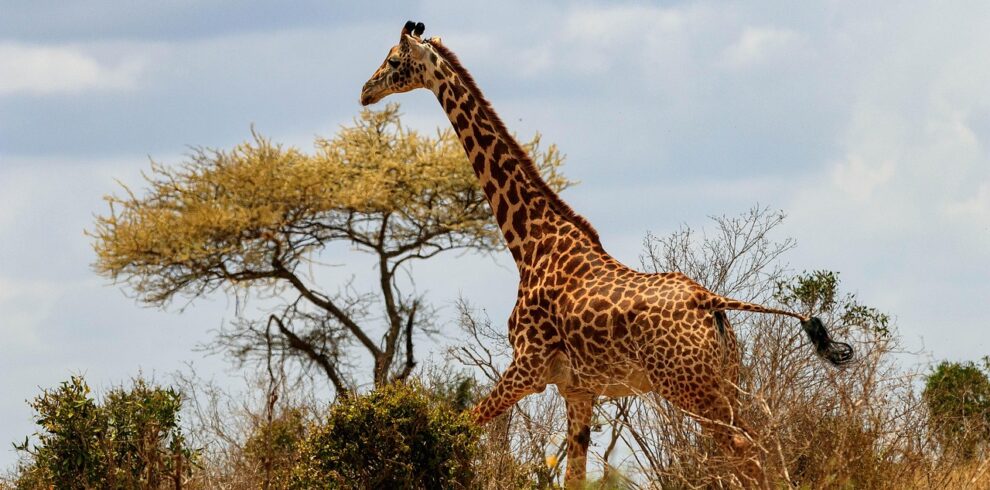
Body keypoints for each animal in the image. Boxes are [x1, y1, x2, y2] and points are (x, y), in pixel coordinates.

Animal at [360, 21, 854, 487]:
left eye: (393, 61)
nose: (365, 91)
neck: (530, 242)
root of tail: (711, 301)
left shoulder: (527, 367)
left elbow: (459, 427)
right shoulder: (578, 390)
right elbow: (573, 475)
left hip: (689, 386)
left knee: (745, 450)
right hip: (725, 379)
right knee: (755, 446)